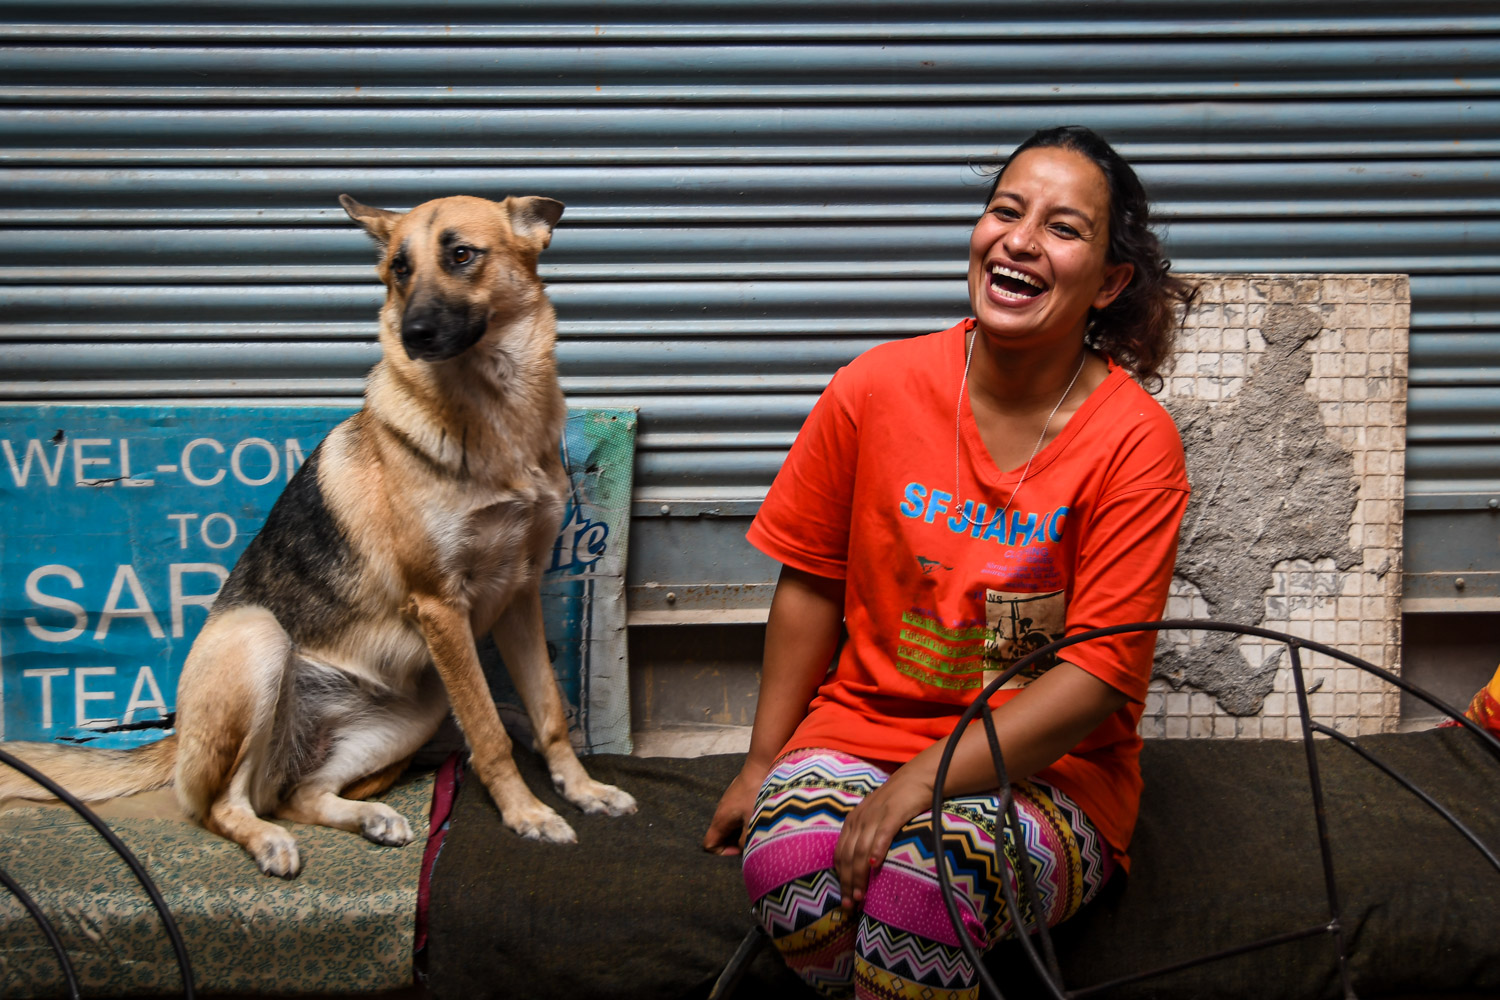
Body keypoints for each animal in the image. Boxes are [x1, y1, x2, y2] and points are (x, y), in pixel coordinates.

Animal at [0, 194, 633, 875]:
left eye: (462, 255)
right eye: (398, 269)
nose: (412, 335)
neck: (495, 412)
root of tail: (177, 733)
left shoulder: (518, 595)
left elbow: (548, 715)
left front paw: (583, 791)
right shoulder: (442, 608)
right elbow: (490, 732)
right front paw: (526, 815)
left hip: (417, 710)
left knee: (296, 793)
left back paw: (371, 817)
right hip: (260, 639)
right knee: (221, 806)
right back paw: (268, 841)